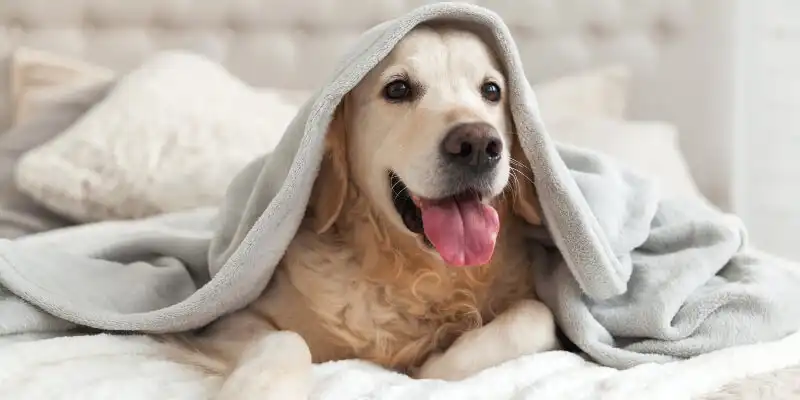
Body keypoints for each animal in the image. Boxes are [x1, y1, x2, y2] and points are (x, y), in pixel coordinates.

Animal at [166, 23, 560, 398]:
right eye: (398, 89)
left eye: (492, 91)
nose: (477, 145)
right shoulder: (224, 322)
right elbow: (284, 339)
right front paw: (257, 390)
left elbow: (537, 316)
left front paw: (434, 362)